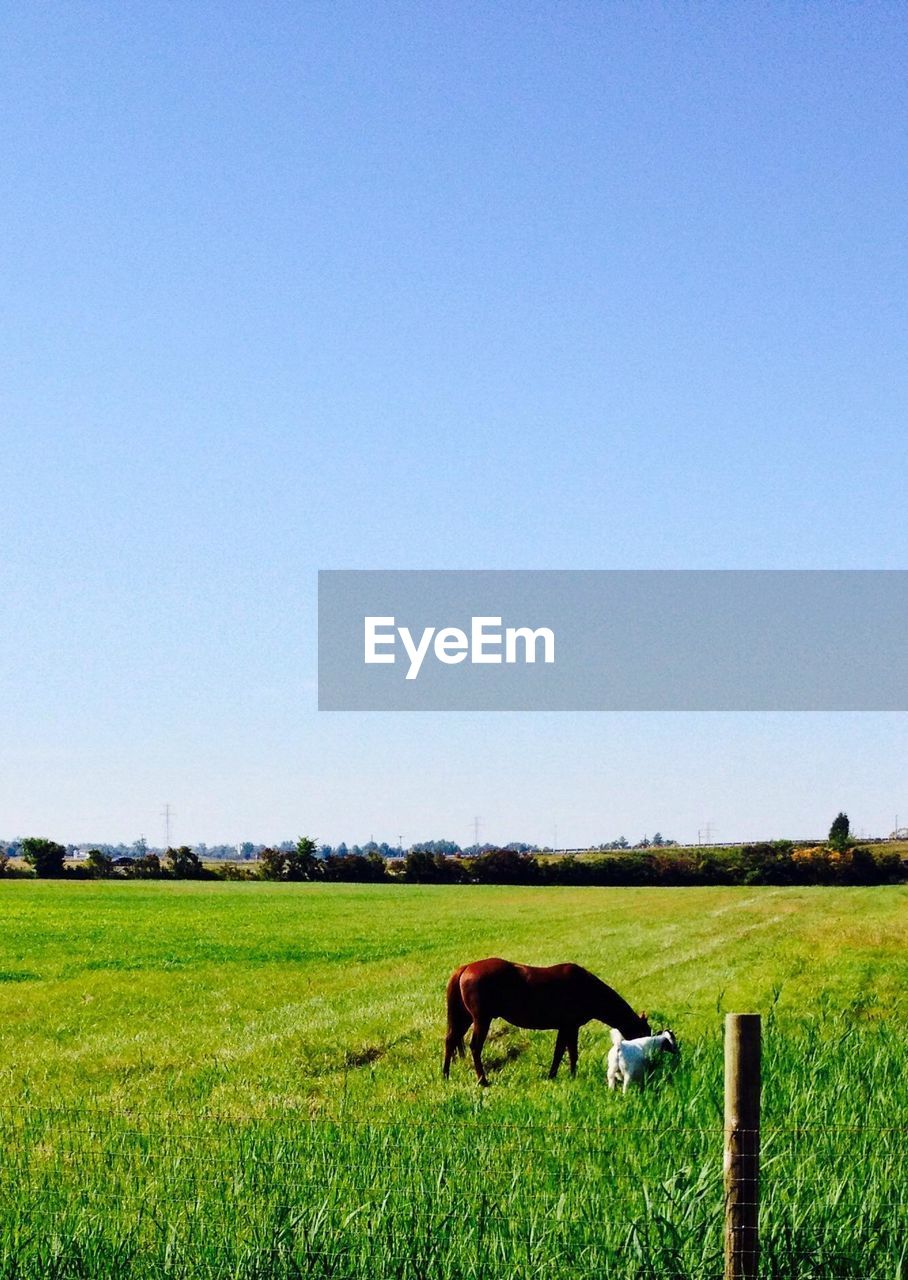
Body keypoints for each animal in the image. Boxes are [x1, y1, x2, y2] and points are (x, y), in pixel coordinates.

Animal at [440, 957, 648, 1085]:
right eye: (644, 1032)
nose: (650, 1062)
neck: (586, 988)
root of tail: (466, 968)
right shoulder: (570, 1027)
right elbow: (569, 1053)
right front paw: (568, 1076)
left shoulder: (566, 1028)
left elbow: (563, 1052)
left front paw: (558, 1075)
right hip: (481, 1019)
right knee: (475, 1047)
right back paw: (483, 1081)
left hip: (465, 1018)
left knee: (450, 1041)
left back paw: (445, 1075)